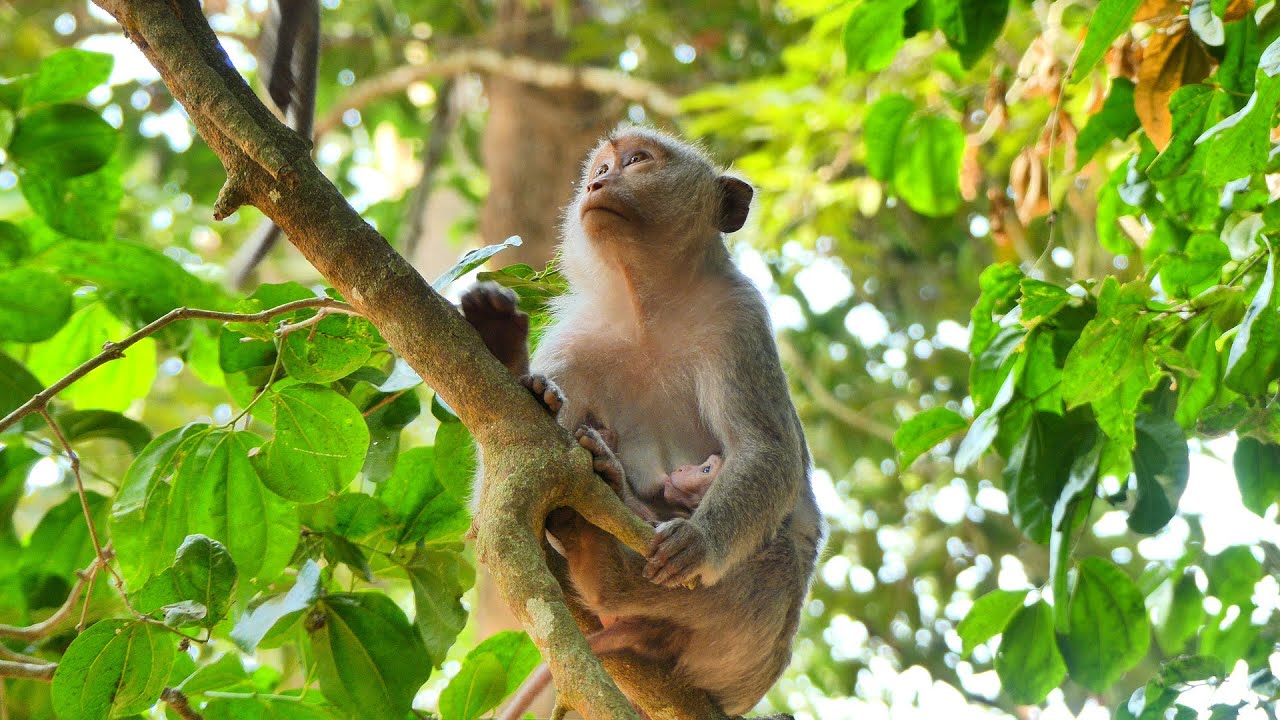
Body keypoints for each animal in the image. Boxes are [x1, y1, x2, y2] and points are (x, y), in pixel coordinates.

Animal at [462, 127, 823, 718]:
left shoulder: (739, 318)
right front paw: (521, 374)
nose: (597, 184)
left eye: (637, 160)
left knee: (777, 566)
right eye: (601, 168)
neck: (647, 305)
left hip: (754, 644)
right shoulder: (578, 333)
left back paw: (608, 563)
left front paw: (699, 539)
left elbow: (766, 449)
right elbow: (495, 477)